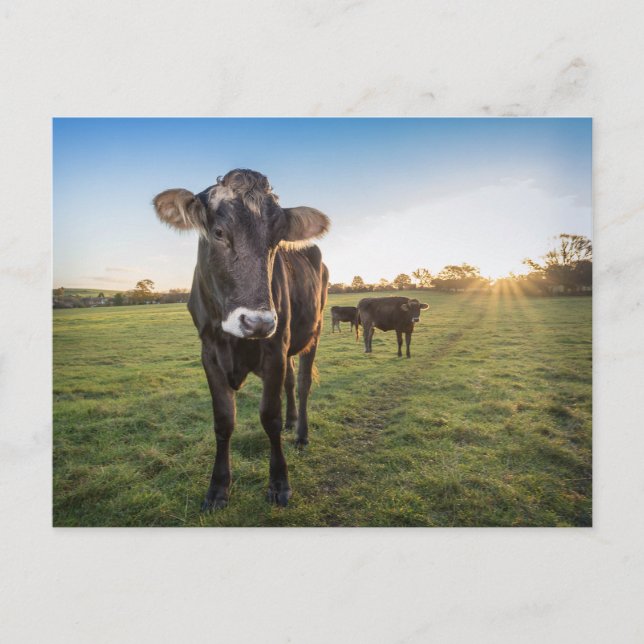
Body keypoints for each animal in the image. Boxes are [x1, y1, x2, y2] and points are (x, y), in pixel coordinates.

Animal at [153, 169, 329, 510]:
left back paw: (300, 433)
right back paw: (292, 422)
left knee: (302, 384)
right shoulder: (209, 354)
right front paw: (218, 488)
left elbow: (269, 417)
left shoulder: (275, 349)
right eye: (219, 232)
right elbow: (224, 420)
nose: (258, 322)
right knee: (291, 382)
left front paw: (279, 482)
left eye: (276, 240)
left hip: (312, 332)